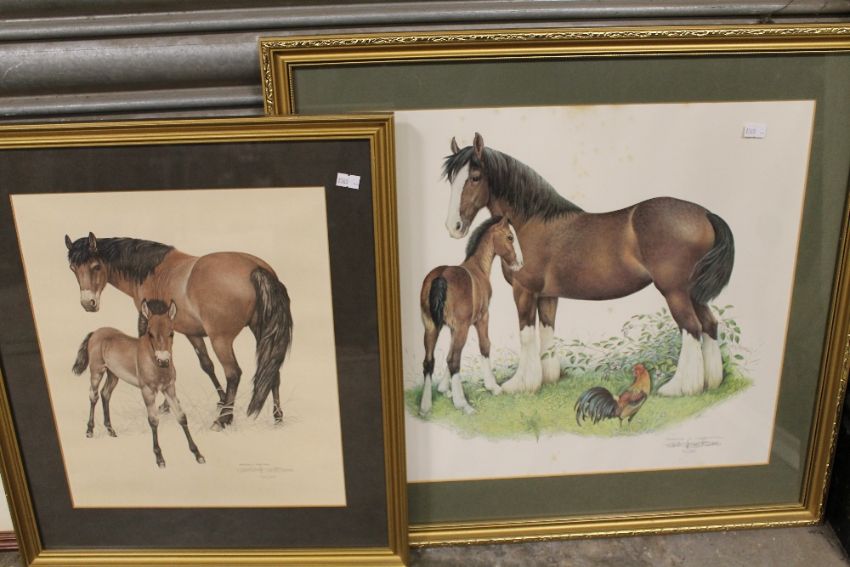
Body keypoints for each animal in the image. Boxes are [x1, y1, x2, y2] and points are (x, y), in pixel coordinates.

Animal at [65, 233, 293, 430]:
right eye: (73, 268)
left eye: (95, 266)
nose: (88, 303)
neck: (152, 270)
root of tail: (257, 268)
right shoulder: (192, 333)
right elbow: (206, 365)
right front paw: (218, 400)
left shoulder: (146, 322)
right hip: (262, 332)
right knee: (272, 371)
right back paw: (277, 417)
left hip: (221, 340)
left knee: (234, 373)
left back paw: (223, 420)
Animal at [72, 299, 205, 468]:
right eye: (150, 333)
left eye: (172, 333)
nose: (163, 361)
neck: (156, 365)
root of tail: (96, 332)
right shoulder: (147, 390)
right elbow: (153, 420)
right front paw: (159, 457)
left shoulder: (169, 388)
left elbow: (181, 417)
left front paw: (198, 454)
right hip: (97, 371)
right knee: (93, 396)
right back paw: (89, 430)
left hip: (113, 375)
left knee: (105, 394)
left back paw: (110, 429)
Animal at [419, 215, 524, 415]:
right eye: (510, 237)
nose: (520, 263)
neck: (478, 268)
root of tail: (441, 276)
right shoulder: (481, 318)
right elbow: (485, 346)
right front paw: (493, 387)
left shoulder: (453, 328)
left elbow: (448, 354)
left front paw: (444, 389)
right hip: (461, 328)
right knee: (454, 360)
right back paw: (463, 404)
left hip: (430, 326)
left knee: (430, 361)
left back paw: (425, 406)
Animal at [441, 133, 734, 397]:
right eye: (452, 179)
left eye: (475, 177)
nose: (454, 227)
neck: (531, 223)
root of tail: (705, 214)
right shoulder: (547, 295)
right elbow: (547, 333)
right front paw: (547, 378)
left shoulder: (524, 291)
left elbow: (526, 335)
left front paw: (519, 385)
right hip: (694, 292)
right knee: (709, 325)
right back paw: (711, 383)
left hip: (675, 292)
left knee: (691, 329)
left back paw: (679, 388)